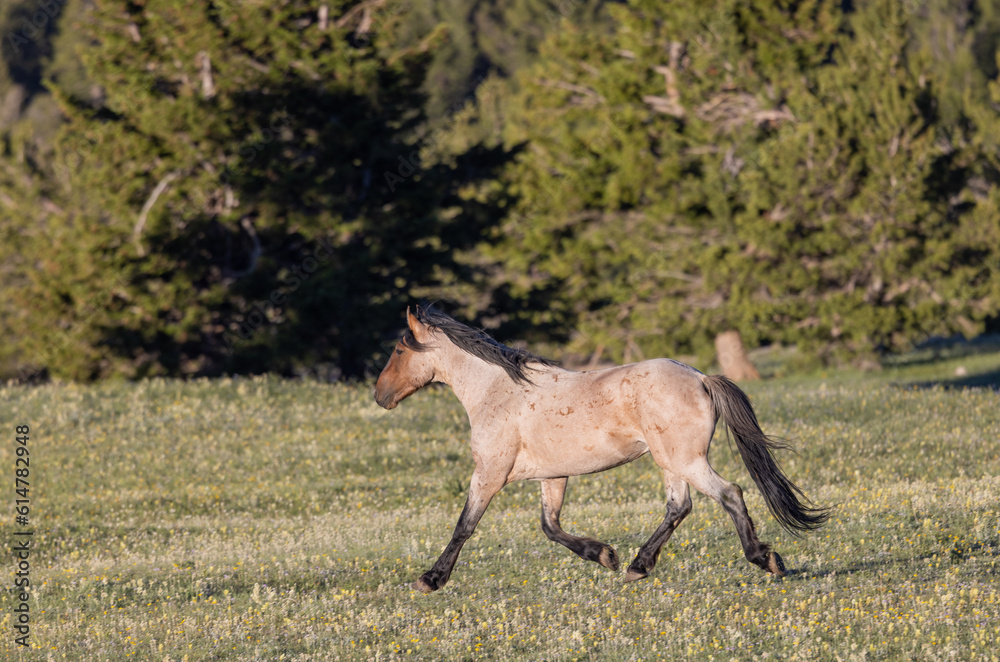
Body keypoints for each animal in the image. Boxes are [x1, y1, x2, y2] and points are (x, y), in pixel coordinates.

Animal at [376, 308, 828, 596]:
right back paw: (636, 567)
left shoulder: (489, 473)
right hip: (670, 462)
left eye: (399, 351)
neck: (496, 391)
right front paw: (605, 555)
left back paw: (766, 559)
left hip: (684, 460)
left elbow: (464, 526)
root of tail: (701, 377)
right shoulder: (552, 476)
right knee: (679, 506)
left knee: (729, 493)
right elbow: (550, 526)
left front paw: (430, 579)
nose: (380, 396)